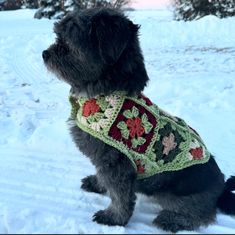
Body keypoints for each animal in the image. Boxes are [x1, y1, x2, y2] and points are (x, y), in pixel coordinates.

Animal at [43, 7, 235, 233]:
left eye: (66, 42)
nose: (44, 54)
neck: (108, 90)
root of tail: (221, 188)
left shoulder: (116, 162)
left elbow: (119, 195)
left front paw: (114, 217)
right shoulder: (104, 158)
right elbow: (103, 178)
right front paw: (98, 184)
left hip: (180, 195)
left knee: (202, 214)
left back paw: (173, 219)